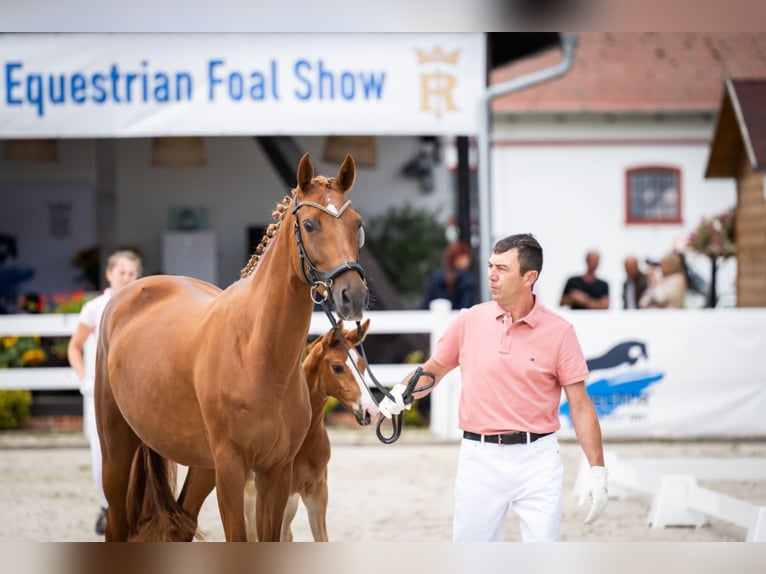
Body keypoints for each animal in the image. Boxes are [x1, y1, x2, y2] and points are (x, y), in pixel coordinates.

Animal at [94, 154, 370, 544]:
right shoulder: (231, 469)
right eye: (310, 224)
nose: (353, 295)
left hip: (200, 465)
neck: (257, 354)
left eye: (356, 225)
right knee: (117, 525)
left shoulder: (276, 473)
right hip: (117, 455)